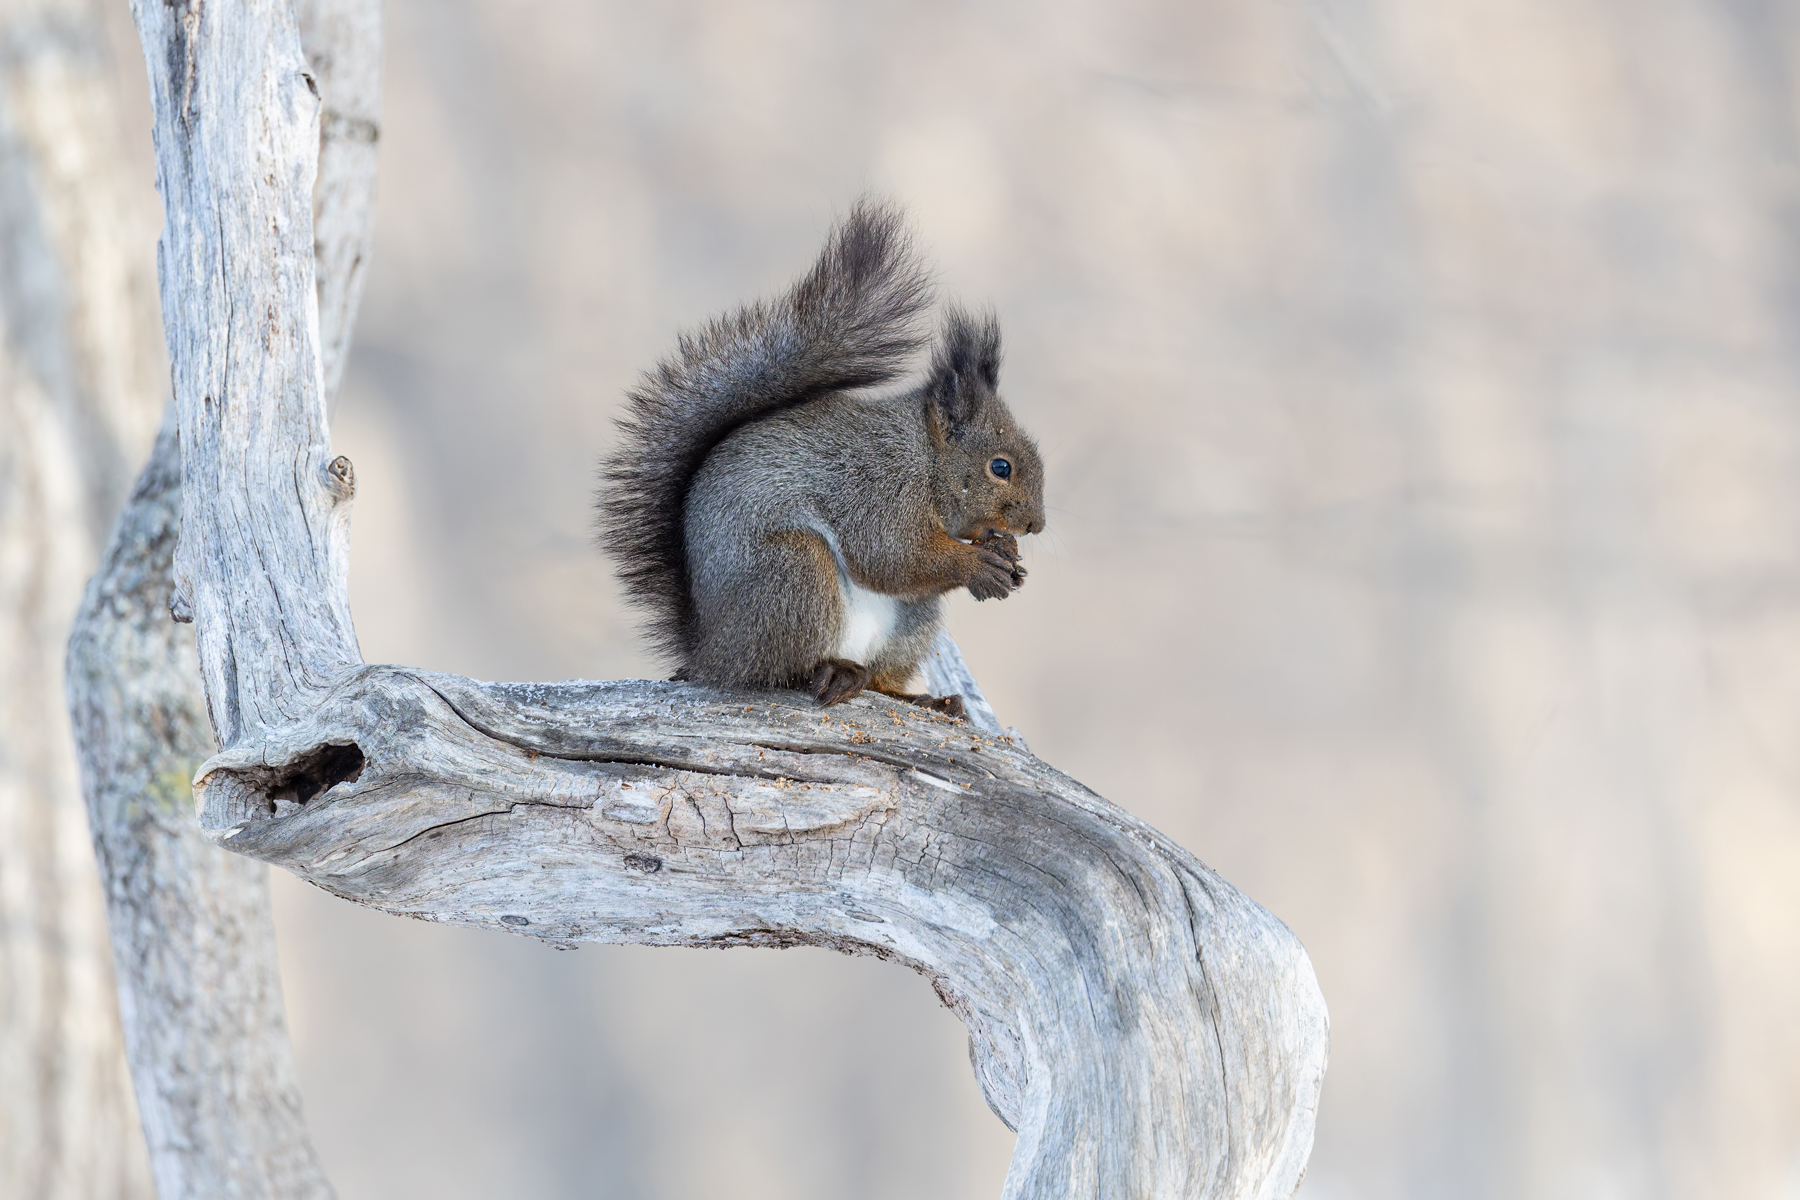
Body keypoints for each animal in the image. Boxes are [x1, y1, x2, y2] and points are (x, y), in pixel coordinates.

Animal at [597, 200, 1045, 712]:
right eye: (1000, 467)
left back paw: (921, 699)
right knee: (777, 670)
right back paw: (829, 671)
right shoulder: (879, 487)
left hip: (912, 618)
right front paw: (979, 565)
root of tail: (711, 651)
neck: (926, 458)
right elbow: (892, 555)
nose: (1036, 525)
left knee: (880, 678)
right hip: (794, 573)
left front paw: (1007, 555)